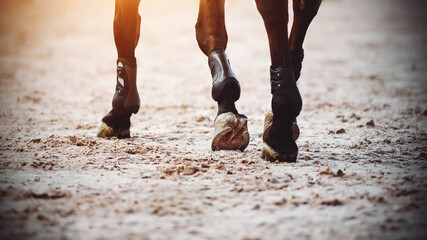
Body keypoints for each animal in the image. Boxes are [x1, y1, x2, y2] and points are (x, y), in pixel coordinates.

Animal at [98, 0, 320, 163]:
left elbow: (124, 24)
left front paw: (118, 114)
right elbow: (212, 30)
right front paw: (228, 105)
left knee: (274, 11)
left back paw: (279, 133)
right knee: (304, 10)